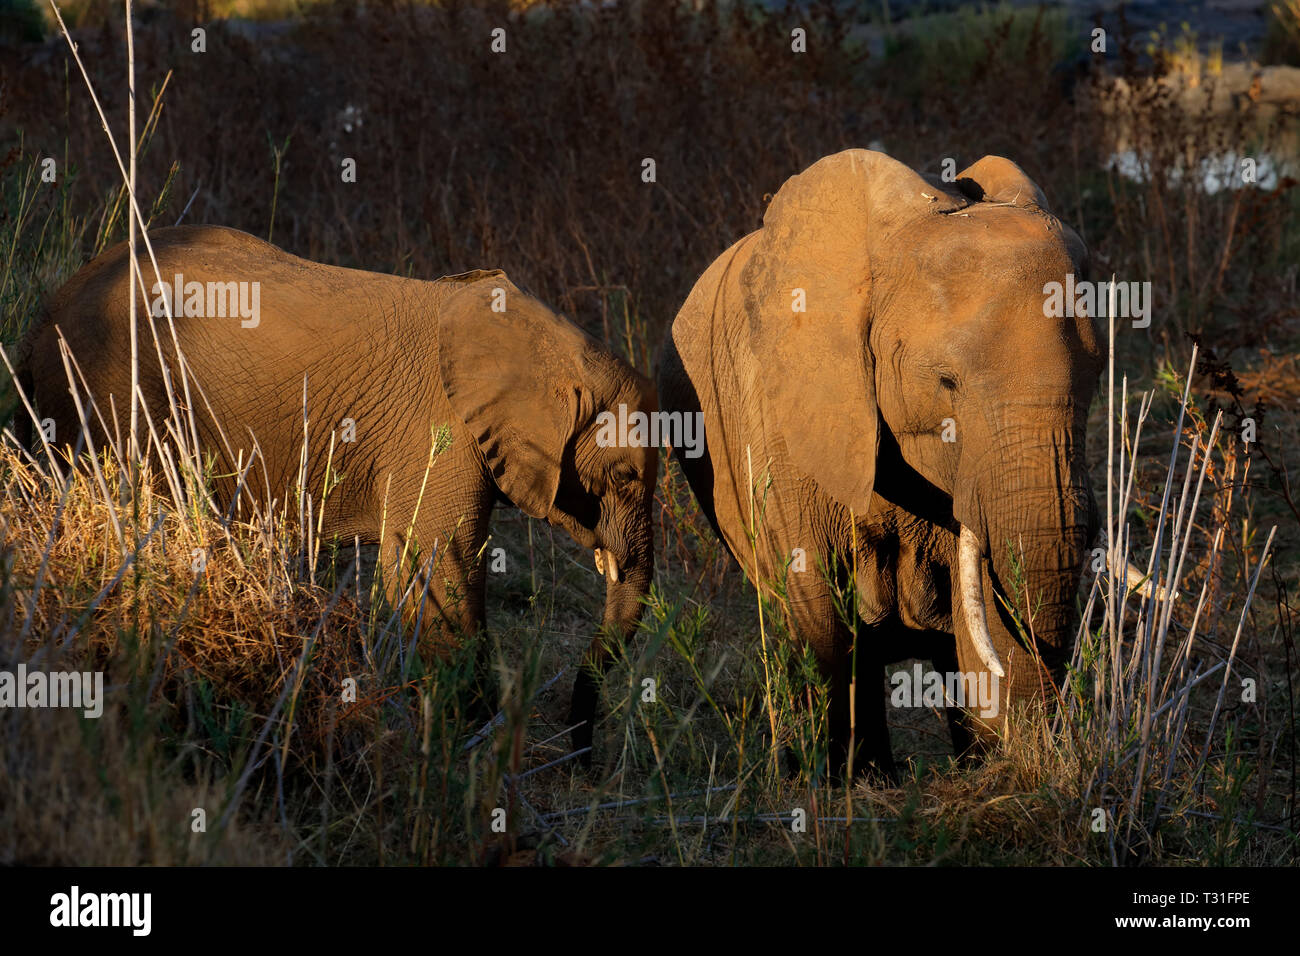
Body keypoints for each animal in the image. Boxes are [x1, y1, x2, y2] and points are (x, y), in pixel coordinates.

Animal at [27, 223, 660, 749]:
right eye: (624, 475)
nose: (583, 757)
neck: (552, 344)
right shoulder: (439, 438)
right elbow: (438, 569)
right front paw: (467, 734)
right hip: (111, 391)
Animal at [660, 147, 1128, 780]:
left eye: (1096, 378)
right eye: (947, 383)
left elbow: (977, 607)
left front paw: (988, 767)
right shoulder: (777, 412)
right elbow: (819, 604)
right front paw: (858, 783)